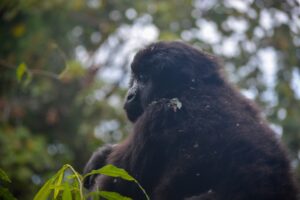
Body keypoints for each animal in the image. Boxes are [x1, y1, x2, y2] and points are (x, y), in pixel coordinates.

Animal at [83, 41, 298, 199]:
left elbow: (113, 190)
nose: (129, 95)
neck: (191, 88)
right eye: (134, 77)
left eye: (143, 78)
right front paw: (102, 154)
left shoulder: (156, 115)